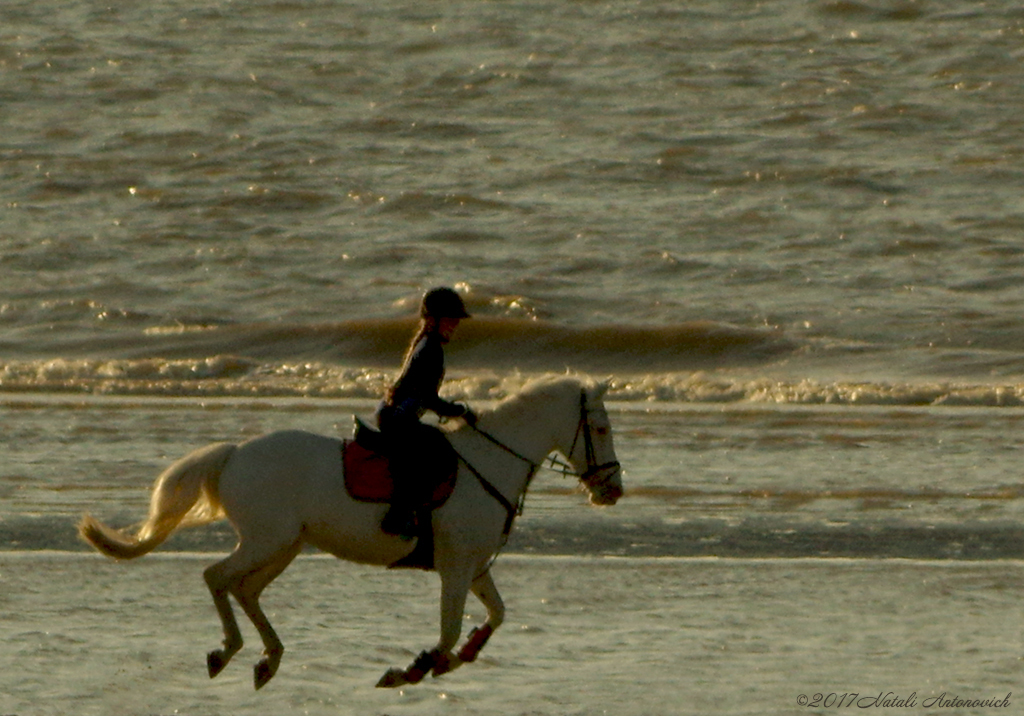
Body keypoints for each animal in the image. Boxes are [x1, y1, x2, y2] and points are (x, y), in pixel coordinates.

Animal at [77, 378, 622, 692]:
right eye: (599, 428)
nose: (612, 490)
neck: (490, 461)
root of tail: (233, 454)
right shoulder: (455, 566)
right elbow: (447, 629)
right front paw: (415, 667)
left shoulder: (473, 565)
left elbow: (497, 615)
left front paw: (460, 656)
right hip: (266, 540)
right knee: (217, 577)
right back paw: (228, 651)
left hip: (285, 545)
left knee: (244, 588)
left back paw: (267, 659)